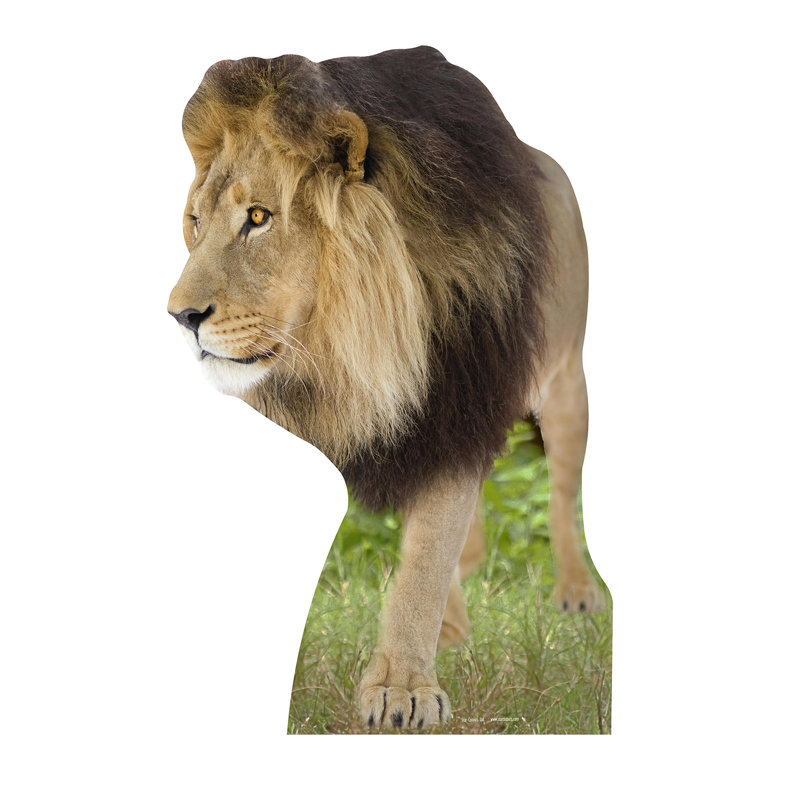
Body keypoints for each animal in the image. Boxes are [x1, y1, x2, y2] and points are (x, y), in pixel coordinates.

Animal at [168, 46, 605, 731]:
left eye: (258, 218)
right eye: (194, 221)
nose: (180, 316)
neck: (351, 349)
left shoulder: (460, 393)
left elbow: (425, 556)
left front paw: (402, 688)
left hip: (566, 382)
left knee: (561, 490)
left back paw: (576, 592)